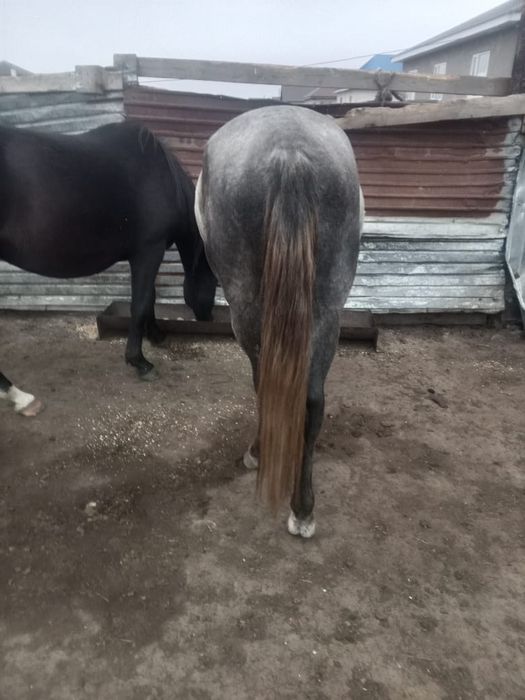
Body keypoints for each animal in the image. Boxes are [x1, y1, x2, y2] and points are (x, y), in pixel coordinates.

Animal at [0, 121, 217, 415]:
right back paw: (21, 397)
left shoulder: (142, 254)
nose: (208, 318)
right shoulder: (149, 250)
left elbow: (148, 298)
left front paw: (156, 335)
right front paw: (140, 361)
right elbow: (141, 303)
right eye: (215, 281)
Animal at [195, 105, 363, 538]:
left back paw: (259, 454)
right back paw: (303, 508)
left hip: (247, 308)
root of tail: (291, 151)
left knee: (265, 384)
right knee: (313, 401)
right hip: (327, 308)